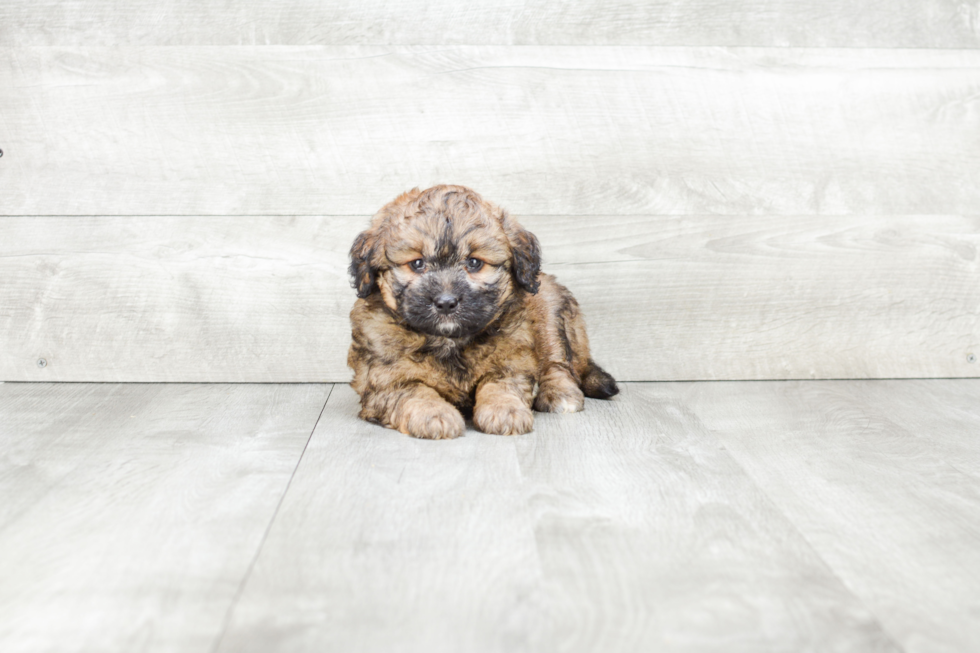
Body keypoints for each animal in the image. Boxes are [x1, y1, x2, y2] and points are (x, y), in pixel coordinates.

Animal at [348, 183, 616, 438]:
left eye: (474, 263)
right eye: (417, 263)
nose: (446, 302)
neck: (450, 342)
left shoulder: (512, 361)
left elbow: (500, 385)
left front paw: (505, 409)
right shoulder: (384, 380)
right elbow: (413, 391)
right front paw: (434, 414)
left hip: (549, 306)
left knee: (558, 361)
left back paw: (560, 393)